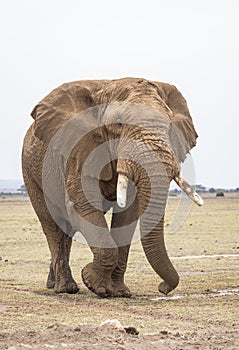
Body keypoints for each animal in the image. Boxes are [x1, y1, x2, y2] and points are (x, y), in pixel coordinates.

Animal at [21, 78, 203, 298]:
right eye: (118, 123)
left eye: (169, 126)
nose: (163, 288)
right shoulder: (78, 151)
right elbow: (82, 206)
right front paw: (94, 283)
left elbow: (127, 214)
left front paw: (119, 292)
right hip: (30, 172)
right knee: (53, 224)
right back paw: (65, 288)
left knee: (68, 229)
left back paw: (53, 283)